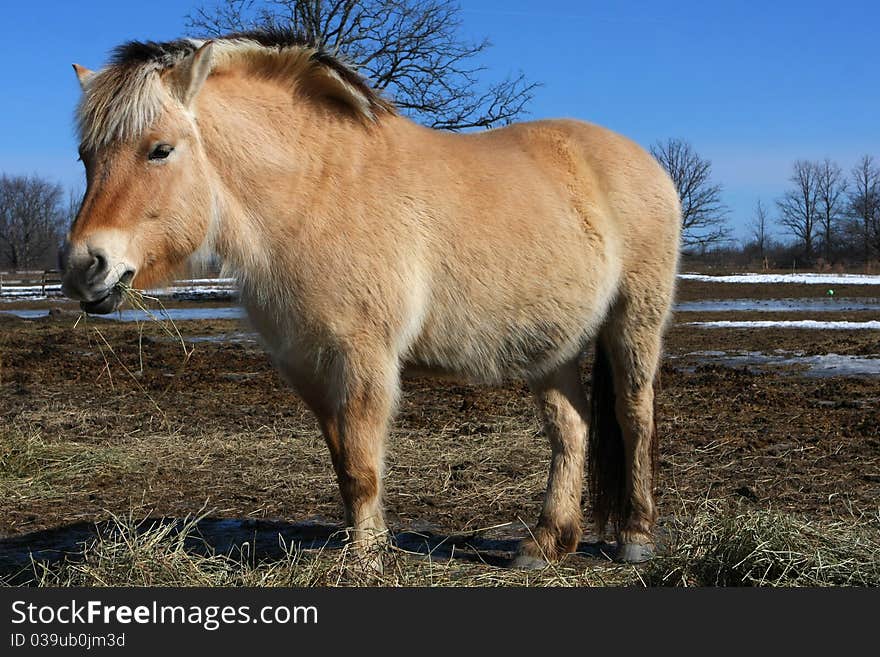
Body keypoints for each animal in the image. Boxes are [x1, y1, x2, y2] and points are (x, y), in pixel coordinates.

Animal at [63, 28, 680, 568]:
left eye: (160, 150)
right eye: (85, 157)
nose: (84, 267)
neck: (316, 191)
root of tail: (643, 162)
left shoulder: (364, 358)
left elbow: (363, 464)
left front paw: (364, 558)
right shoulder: (307, 365)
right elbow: (344, 463)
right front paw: (369, 545)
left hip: (633, 322)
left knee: (633, 418)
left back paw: (635, 538)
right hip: (549, 346)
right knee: (570, 431)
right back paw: (547, 543)